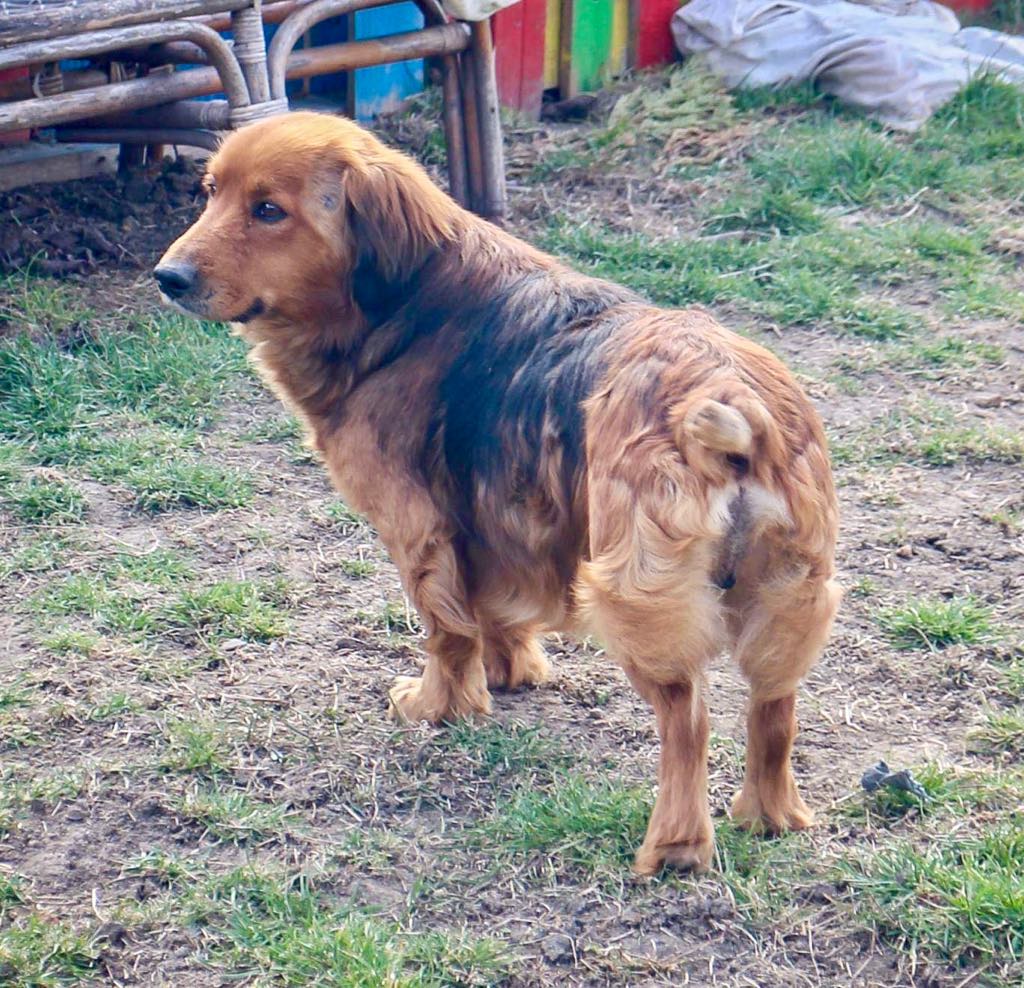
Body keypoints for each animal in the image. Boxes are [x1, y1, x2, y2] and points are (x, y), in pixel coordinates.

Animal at [153, 111, 839, 876]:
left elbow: (447, 630)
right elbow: (499, 611)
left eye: (268, 210)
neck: (407, 305)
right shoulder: (501, 517)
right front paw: (512, 673)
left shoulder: (418, 529)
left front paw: (437, 706)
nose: (166, 277)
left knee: (687, 720)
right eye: (210, 192)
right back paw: (768, 815)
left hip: (636, 599)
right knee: (773, 711)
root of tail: (731, 400)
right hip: (786, 597)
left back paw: (676, 847)